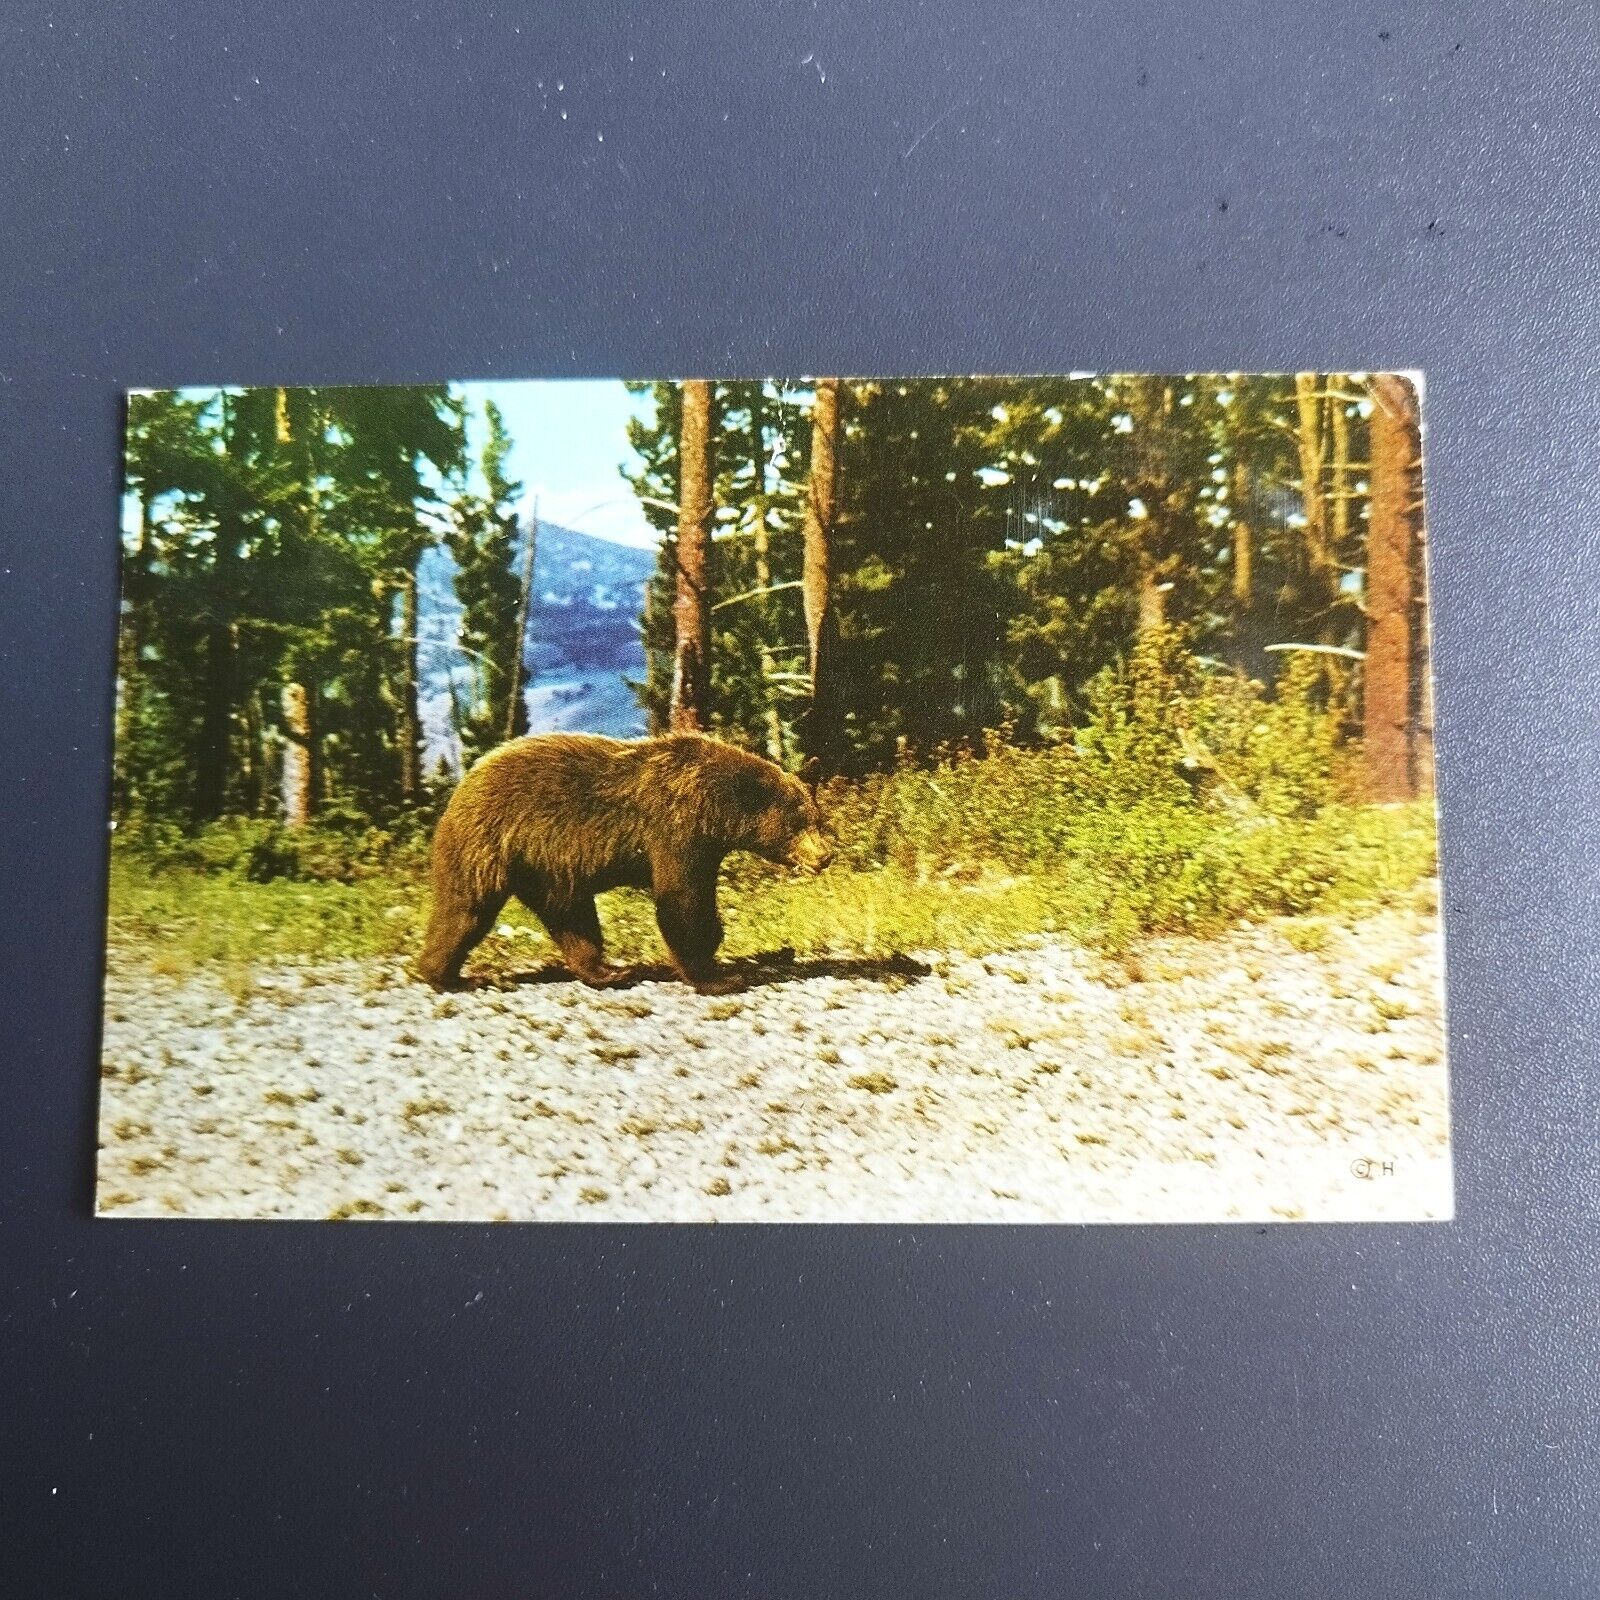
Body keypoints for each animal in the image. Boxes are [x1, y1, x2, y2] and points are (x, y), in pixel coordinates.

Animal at [412, 732, 838, 992]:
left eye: (818, 819)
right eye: (797, 825)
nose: (824, 856)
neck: (719, 810)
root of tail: (466, 780)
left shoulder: (704, 843)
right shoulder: (676, 828)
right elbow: (681, 899)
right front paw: (716, 976)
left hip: (547, 866)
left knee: (572, 917)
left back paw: (608, 971)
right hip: (488, 842)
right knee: (465, 909)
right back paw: (447, 975)